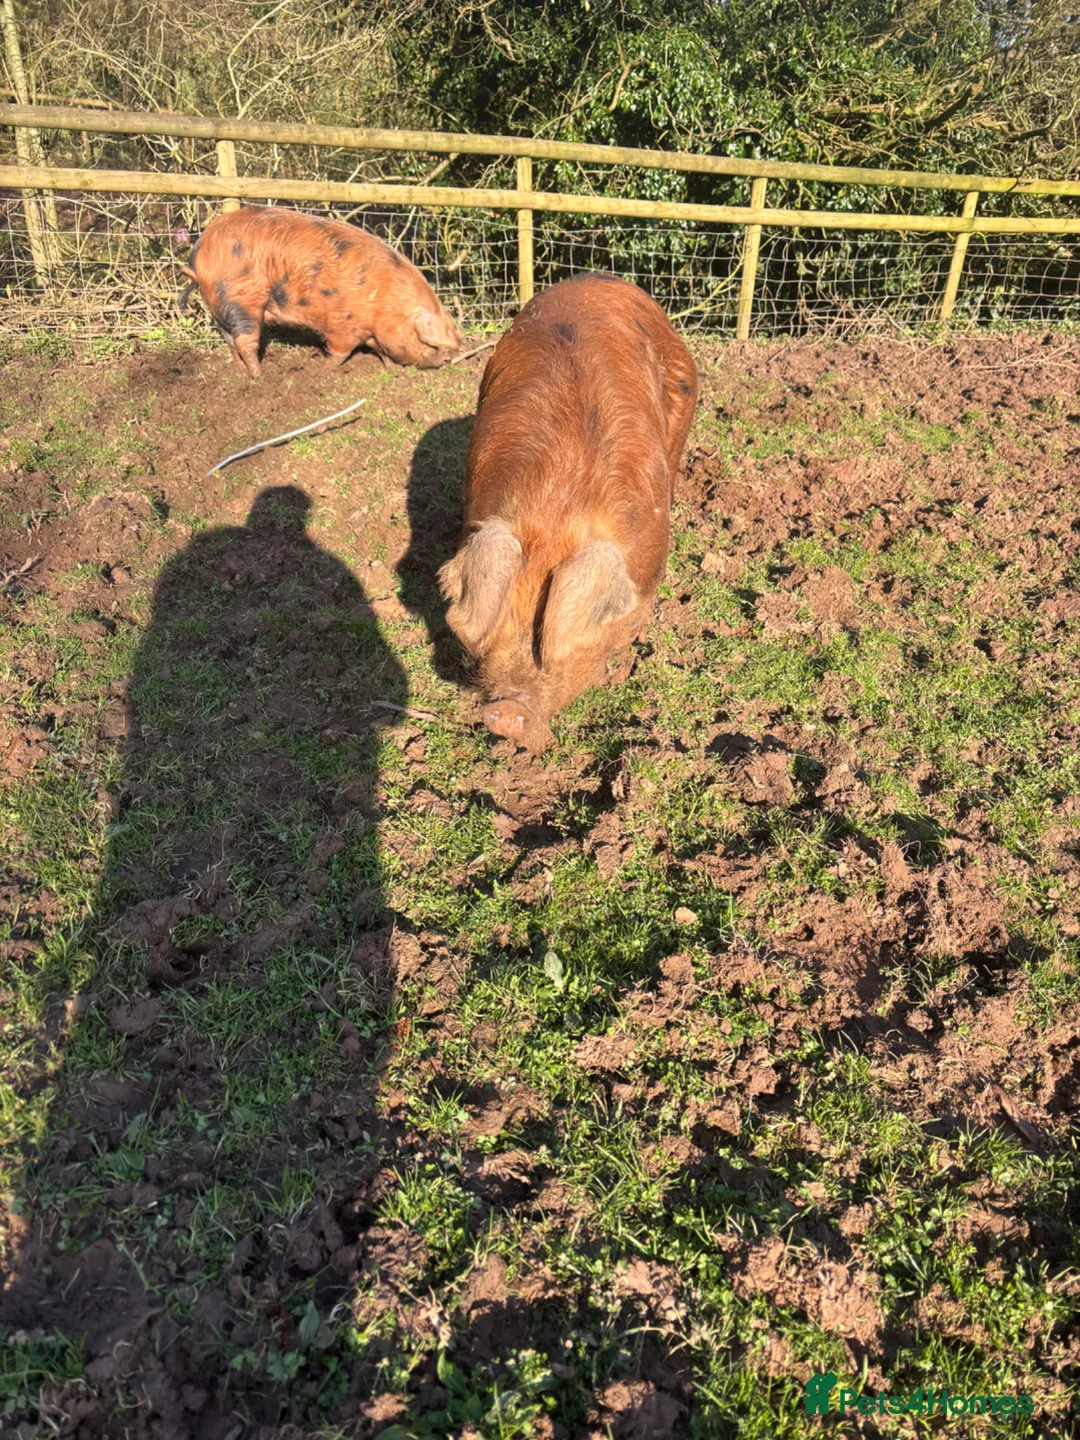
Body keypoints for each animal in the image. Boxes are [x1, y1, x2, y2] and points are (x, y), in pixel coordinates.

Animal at [177, 205, 462, 377]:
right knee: (245, 340)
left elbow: (380, 349)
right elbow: (340, 352)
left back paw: (240, 370)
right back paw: (259, 375)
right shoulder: (342, 324)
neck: (385, 301)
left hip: (222, 306)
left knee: (229, 339)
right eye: (429, 342)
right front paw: (321, 368)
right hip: (241, 299)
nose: (446, 360)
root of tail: (199, 257)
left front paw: (392, 369)